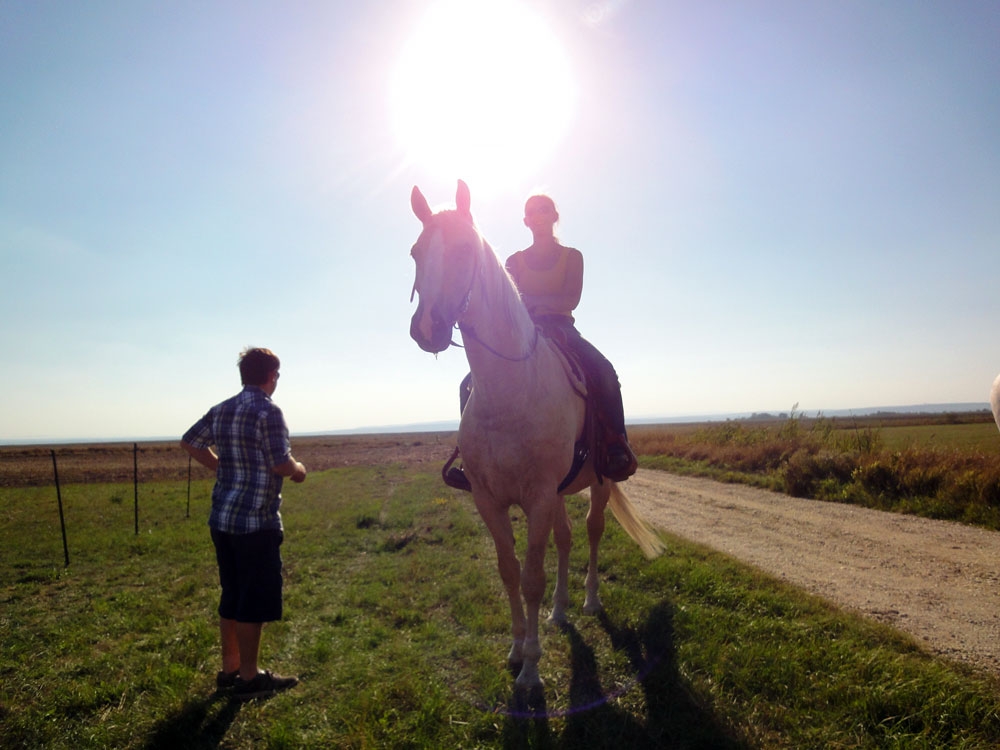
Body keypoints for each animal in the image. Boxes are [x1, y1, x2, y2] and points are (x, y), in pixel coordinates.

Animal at [406, 181, 664, 692]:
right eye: (416, 252)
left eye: (464, 249)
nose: (427, 329)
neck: (511, 390)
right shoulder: (489, 498)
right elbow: (509, 572)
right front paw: (515, 647)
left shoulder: (539, 495)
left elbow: (531, 578)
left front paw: (530, 668)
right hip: (561, 493)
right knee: (565, 540)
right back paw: (560, 612)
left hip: (601, 482)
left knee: (592, 531)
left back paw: (588, 601)